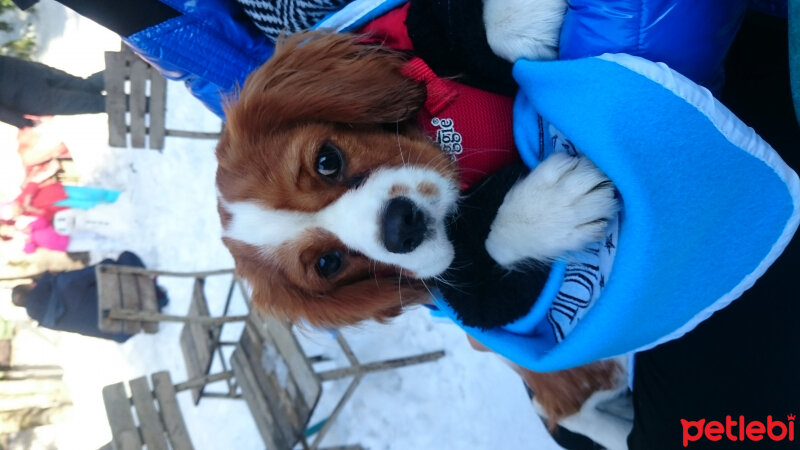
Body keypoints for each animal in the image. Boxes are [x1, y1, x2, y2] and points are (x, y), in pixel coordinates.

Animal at [217, 31, 624, 426]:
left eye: (327, 160)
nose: (400, 225)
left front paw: (523, 22)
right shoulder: (481, 305)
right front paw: (547, 209)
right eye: (328, 263)